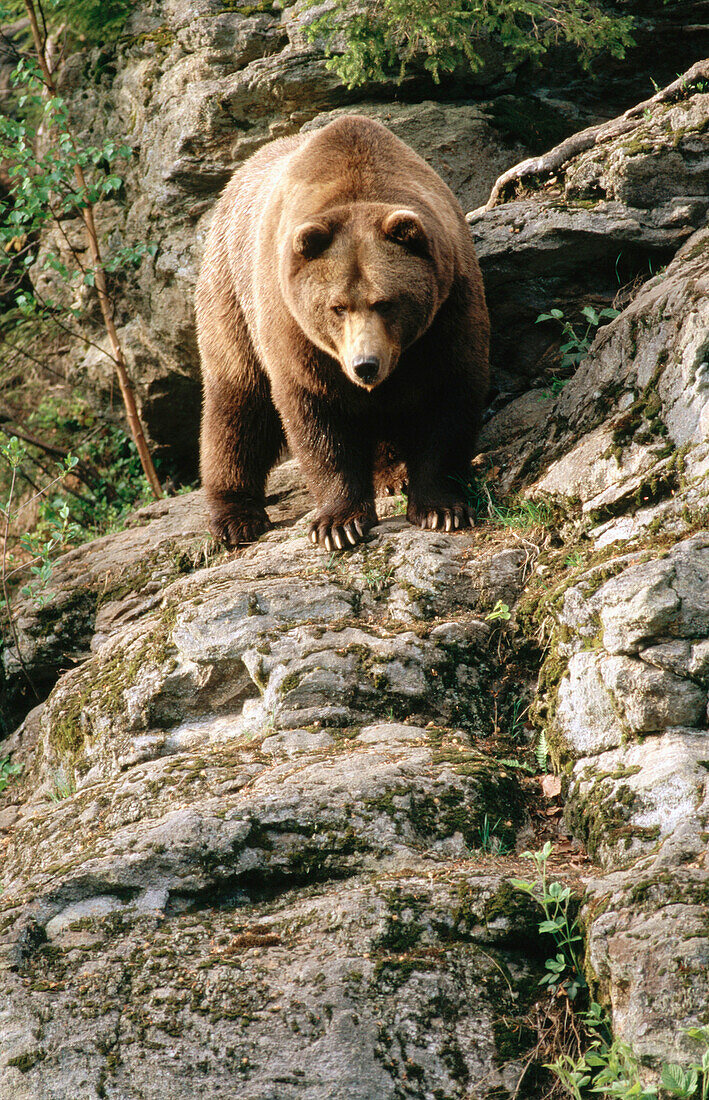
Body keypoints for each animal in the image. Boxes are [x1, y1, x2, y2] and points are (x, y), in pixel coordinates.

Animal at [196, 113, 490, 550]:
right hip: (230, 292)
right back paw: (235, 517)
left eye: (385, 302)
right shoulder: (295, 329)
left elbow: (448, 399)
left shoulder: (448, 308)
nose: (365, 365)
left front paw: (441, 508)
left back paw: (392, 475)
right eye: (337, 307)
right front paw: (339, 523)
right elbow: (317, 418)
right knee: (237, 399)